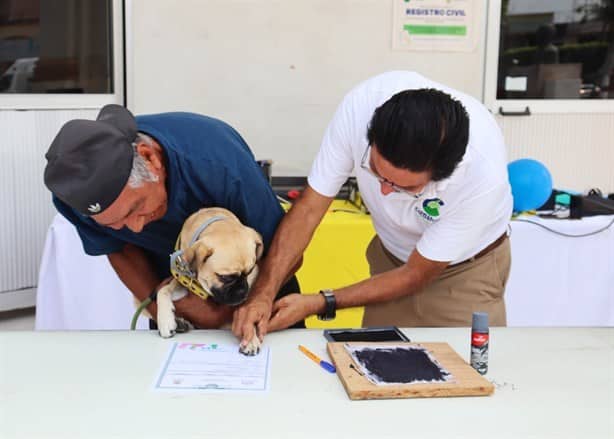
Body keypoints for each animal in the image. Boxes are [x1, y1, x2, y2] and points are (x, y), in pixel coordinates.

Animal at [149, 208, 268, 356]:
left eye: (250, 271)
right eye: (225, 277)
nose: (242, 291)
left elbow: (247, 314)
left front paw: (251, 338)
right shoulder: (182, 281)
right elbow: (163, 290)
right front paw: (165, 320)